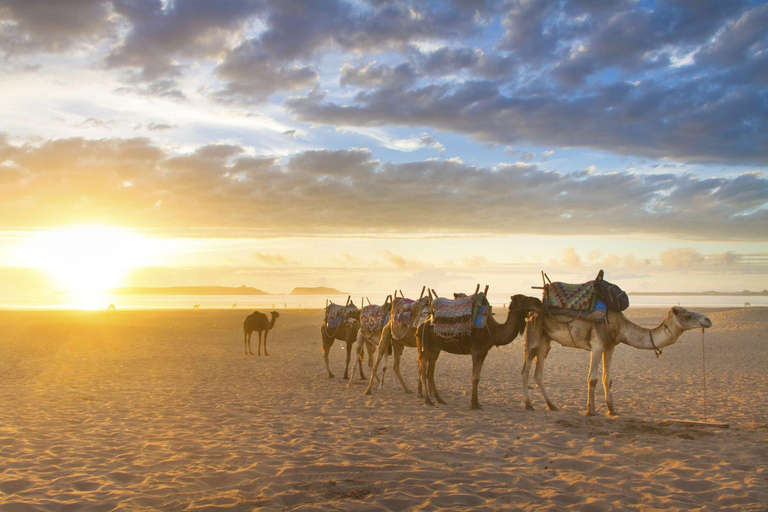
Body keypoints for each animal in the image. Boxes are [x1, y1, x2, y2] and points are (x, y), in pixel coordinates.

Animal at [520, 304, 712, 416]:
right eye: (686, 315)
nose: (707, 320)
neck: (619, 326)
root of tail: (530, 312)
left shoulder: (610, 346)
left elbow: (608, 379)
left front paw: (612, 409)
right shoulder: (597, 344)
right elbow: (592, 379)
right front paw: (591, 410)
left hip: (546, 339)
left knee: (538, 372)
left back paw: (552, 406)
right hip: (534, 335)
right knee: (526, 370)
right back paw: (529, 405)